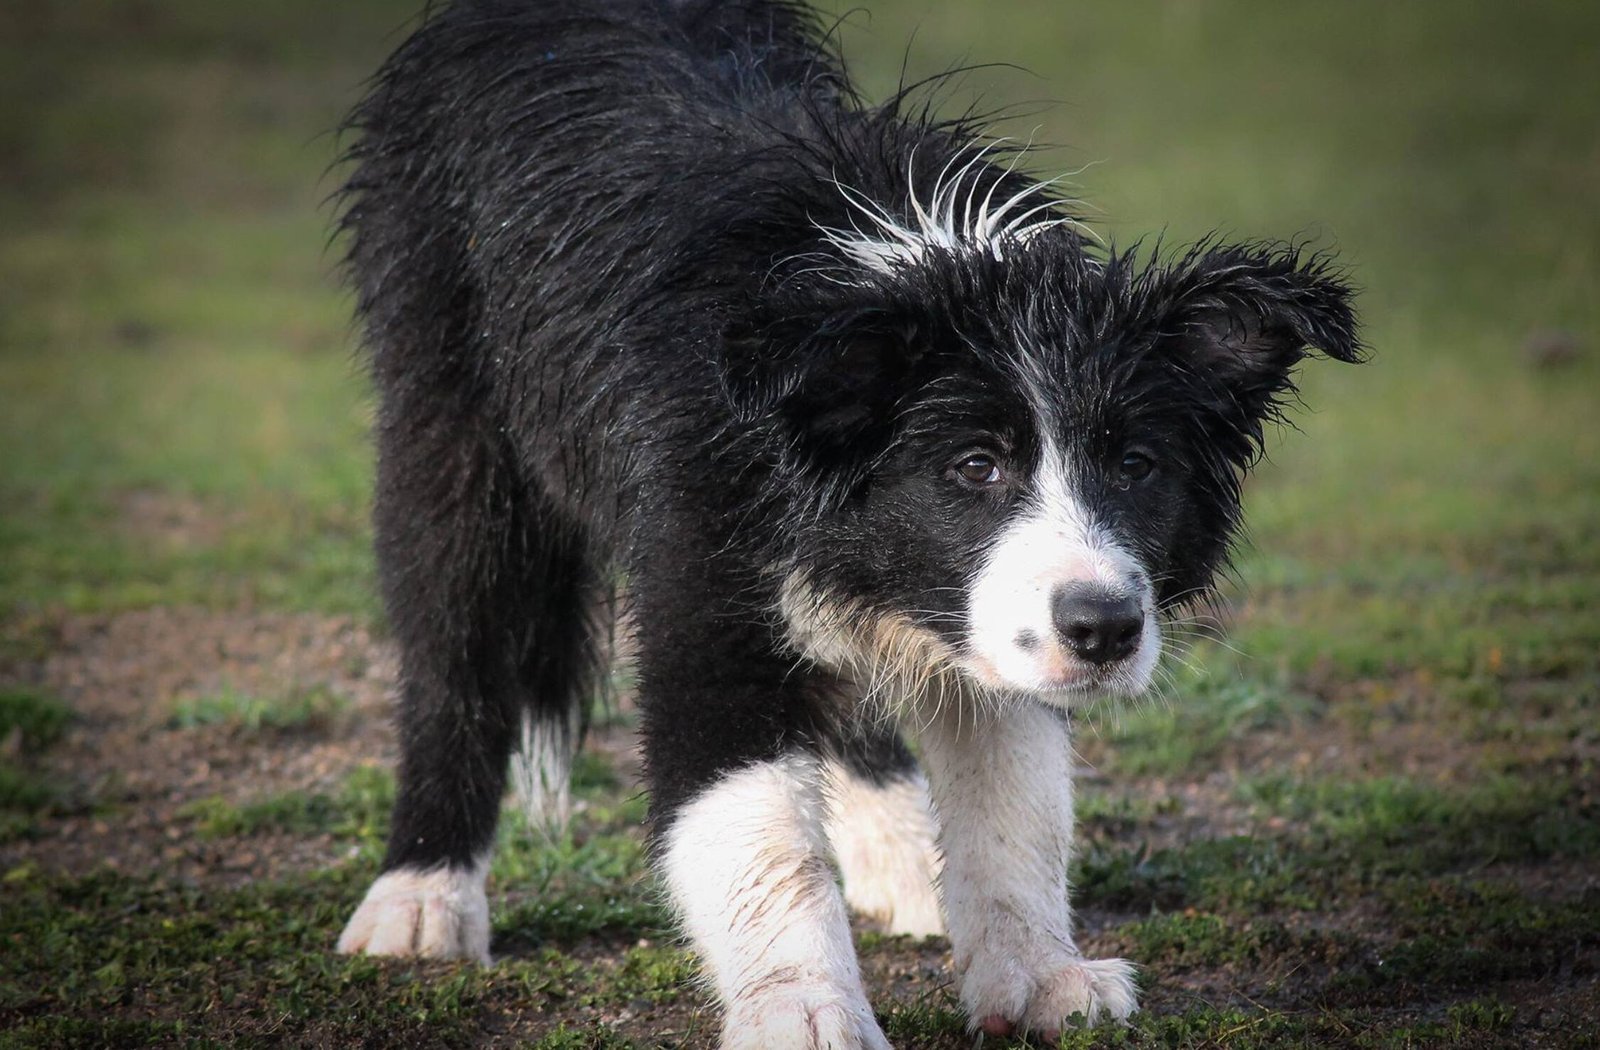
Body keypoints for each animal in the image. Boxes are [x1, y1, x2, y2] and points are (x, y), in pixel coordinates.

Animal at [337, 2, 1363, 1043]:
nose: (1104, 631)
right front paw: (802, 1010)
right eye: (975, 466)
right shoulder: (709, 574)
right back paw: (420, 896)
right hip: (453, 408)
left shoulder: (981, 614)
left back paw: (905, 860)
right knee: (455, 638)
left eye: (1135, 465)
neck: (912, 271)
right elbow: (756, 827)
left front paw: (1039, 977)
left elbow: (1016, 803)